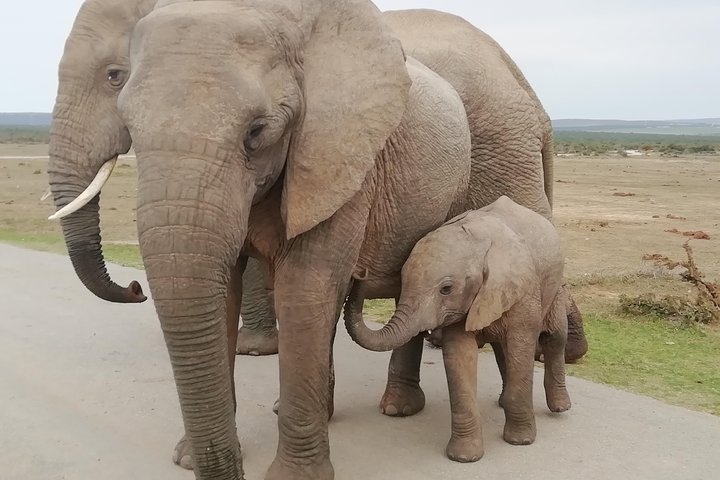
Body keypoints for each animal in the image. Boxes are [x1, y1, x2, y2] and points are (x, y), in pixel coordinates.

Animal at [344, 196, 572, 462]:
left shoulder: (523, 292)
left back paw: (560, 406)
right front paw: (464, 457)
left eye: (446, 289)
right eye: (402, 279)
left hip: (555, 286)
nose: (359, 273)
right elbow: (459, 356)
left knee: (554, 337)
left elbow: (521, 343)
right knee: (502, 348)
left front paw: (520, 441)